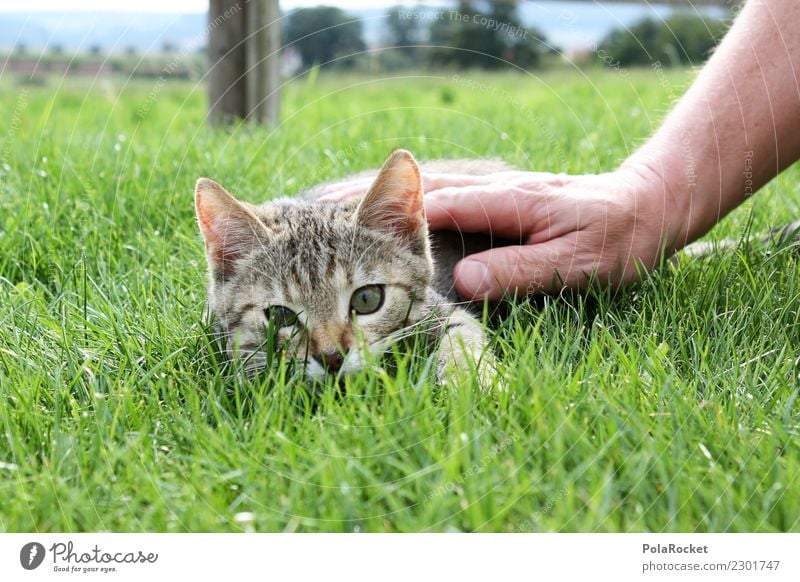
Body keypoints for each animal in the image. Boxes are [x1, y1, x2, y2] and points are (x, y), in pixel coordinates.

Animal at [192, 151, 512, 388]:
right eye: (280, 315)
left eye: (367, 299)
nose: (332, 358)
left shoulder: (444, 312)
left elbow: (462, 340)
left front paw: (475, 385)